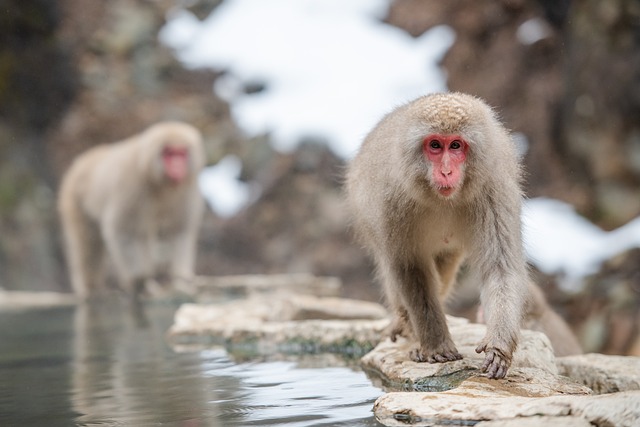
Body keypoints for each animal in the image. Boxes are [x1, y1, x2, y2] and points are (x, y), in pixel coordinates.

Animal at [58, 122, 205, 300]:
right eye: (169, 154)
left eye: (181, 153)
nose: (177, 166)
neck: (159, 183)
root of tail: (83, 160)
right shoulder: (131, 185)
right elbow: (123, 231)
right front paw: (138, 281)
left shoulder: (186, 189)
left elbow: (178, 231)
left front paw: (180, 281)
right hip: (73, 199)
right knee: (89, 243)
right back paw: (92, 288)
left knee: (143, 235)